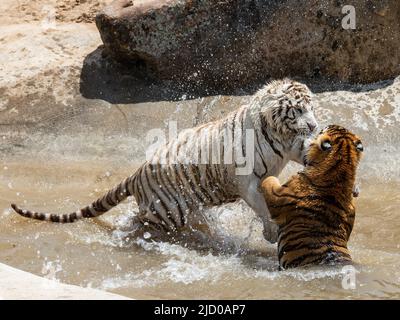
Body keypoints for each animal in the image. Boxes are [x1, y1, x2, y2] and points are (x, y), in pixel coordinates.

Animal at [11, 79, 318, 242]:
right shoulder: (246, 181)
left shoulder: (290, 150)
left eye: (312, 107)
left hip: (185, 207)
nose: (314, 125)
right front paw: (272, 231)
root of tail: (136, 173)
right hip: (168, 210)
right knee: (138, 221)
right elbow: (261, 205)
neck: (278, 133)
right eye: (298, 109)